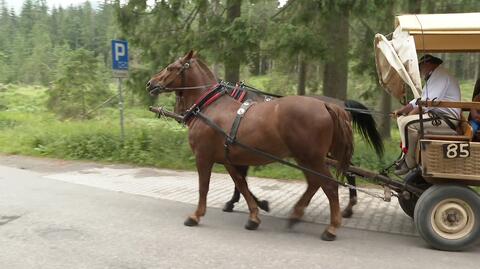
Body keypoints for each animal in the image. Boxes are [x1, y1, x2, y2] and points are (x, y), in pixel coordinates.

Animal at [148, 51, 354, 240]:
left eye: (170, 67)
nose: (150, 83)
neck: (211, 107)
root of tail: (326, 105)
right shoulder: (228, 159)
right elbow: (242, 184)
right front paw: (254, 215)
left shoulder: (203, 157)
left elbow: (204, 187)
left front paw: (196, 215)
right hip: (305, 158)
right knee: (314, 183)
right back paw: (296, 215)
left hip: (311, 158)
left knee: (329, 186)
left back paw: (331, 227)